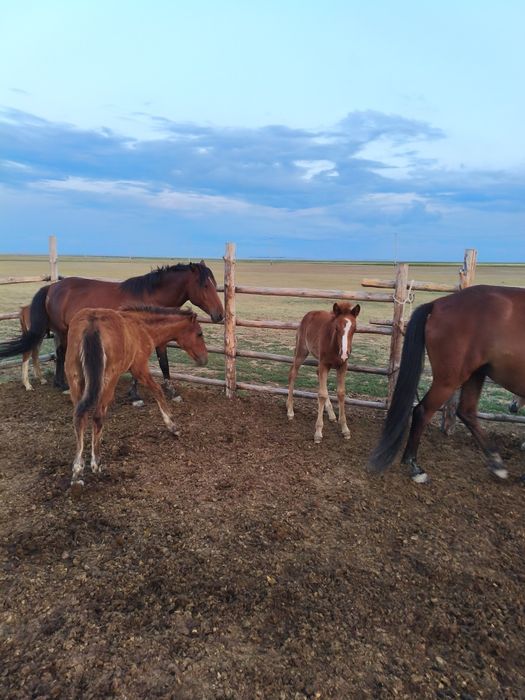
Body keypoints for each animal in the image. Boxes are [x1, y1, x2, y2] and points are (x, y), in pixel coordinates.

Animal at [0, 261, 223, 402]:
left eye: (214, 284)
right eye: (205, 285)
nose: (219, 314)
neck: (150, 297)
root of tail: (52, 287)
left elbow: (164, 364)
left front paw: (172, 391)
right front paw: (135, 395)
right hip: (62, 331)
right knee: (61, 354)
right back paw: (61, 385)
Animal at [65, 306, 208, 490]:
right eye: (199, 333)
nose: (205, 359)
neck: (142, 327)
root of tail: (92, 323)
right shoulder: (139, 367)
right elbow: (158, 391)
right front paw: (172, 426)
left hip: (75, 379)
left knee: (79, 418)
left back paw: (77, 472)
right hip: (108, 380)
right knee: (98, 416)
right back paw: (96, 463)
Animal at [287, 302, 360, 443]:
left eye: (354, 328)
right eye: (336, 328)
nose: (344, 353)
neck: (334, 344)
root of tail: (309, 314)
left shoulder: (342, 366)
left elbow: (341, 393)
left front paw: (345, 429)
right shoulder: (324, 364)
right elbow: (322, 394)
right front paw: (318, 432)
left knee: (316, 373)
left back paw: (331, 415)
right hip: (302, 350)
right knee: (293, 373)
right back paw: (290, 410)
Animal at [368, 285, 525, 483]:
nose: (513, 406)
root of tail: (437, 304)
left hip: (475, 374)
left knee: (466, 412)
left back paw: (497, 463)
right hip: (449, 380)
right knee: (422, 411)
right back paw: (415, 467)